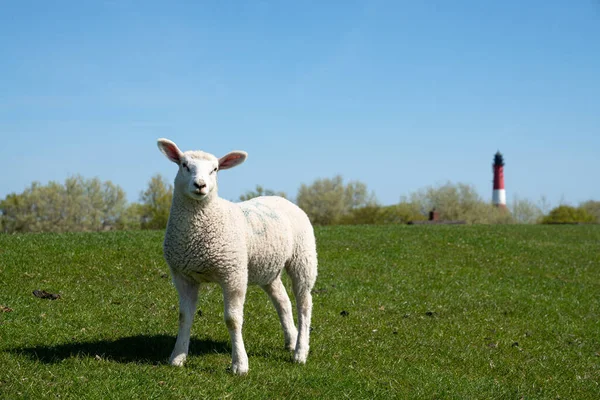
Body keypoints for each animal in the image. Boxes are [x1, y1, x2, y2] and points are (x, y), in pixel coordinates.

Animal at [156, 138, 318, 376]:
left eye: (215, 169)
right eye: (184, 165)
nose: (200, 185)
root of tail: (282, 199)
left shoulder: (233, 273)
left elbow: (232, 320)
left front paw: (240, 364)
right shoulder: (183, 276)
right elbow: (184, 317)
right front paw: (177, 357)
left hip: (303, 257)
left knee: (304, 304)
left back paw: (300, 352)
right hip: (268, 268)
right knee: (283, 301)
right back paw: (291, 340)